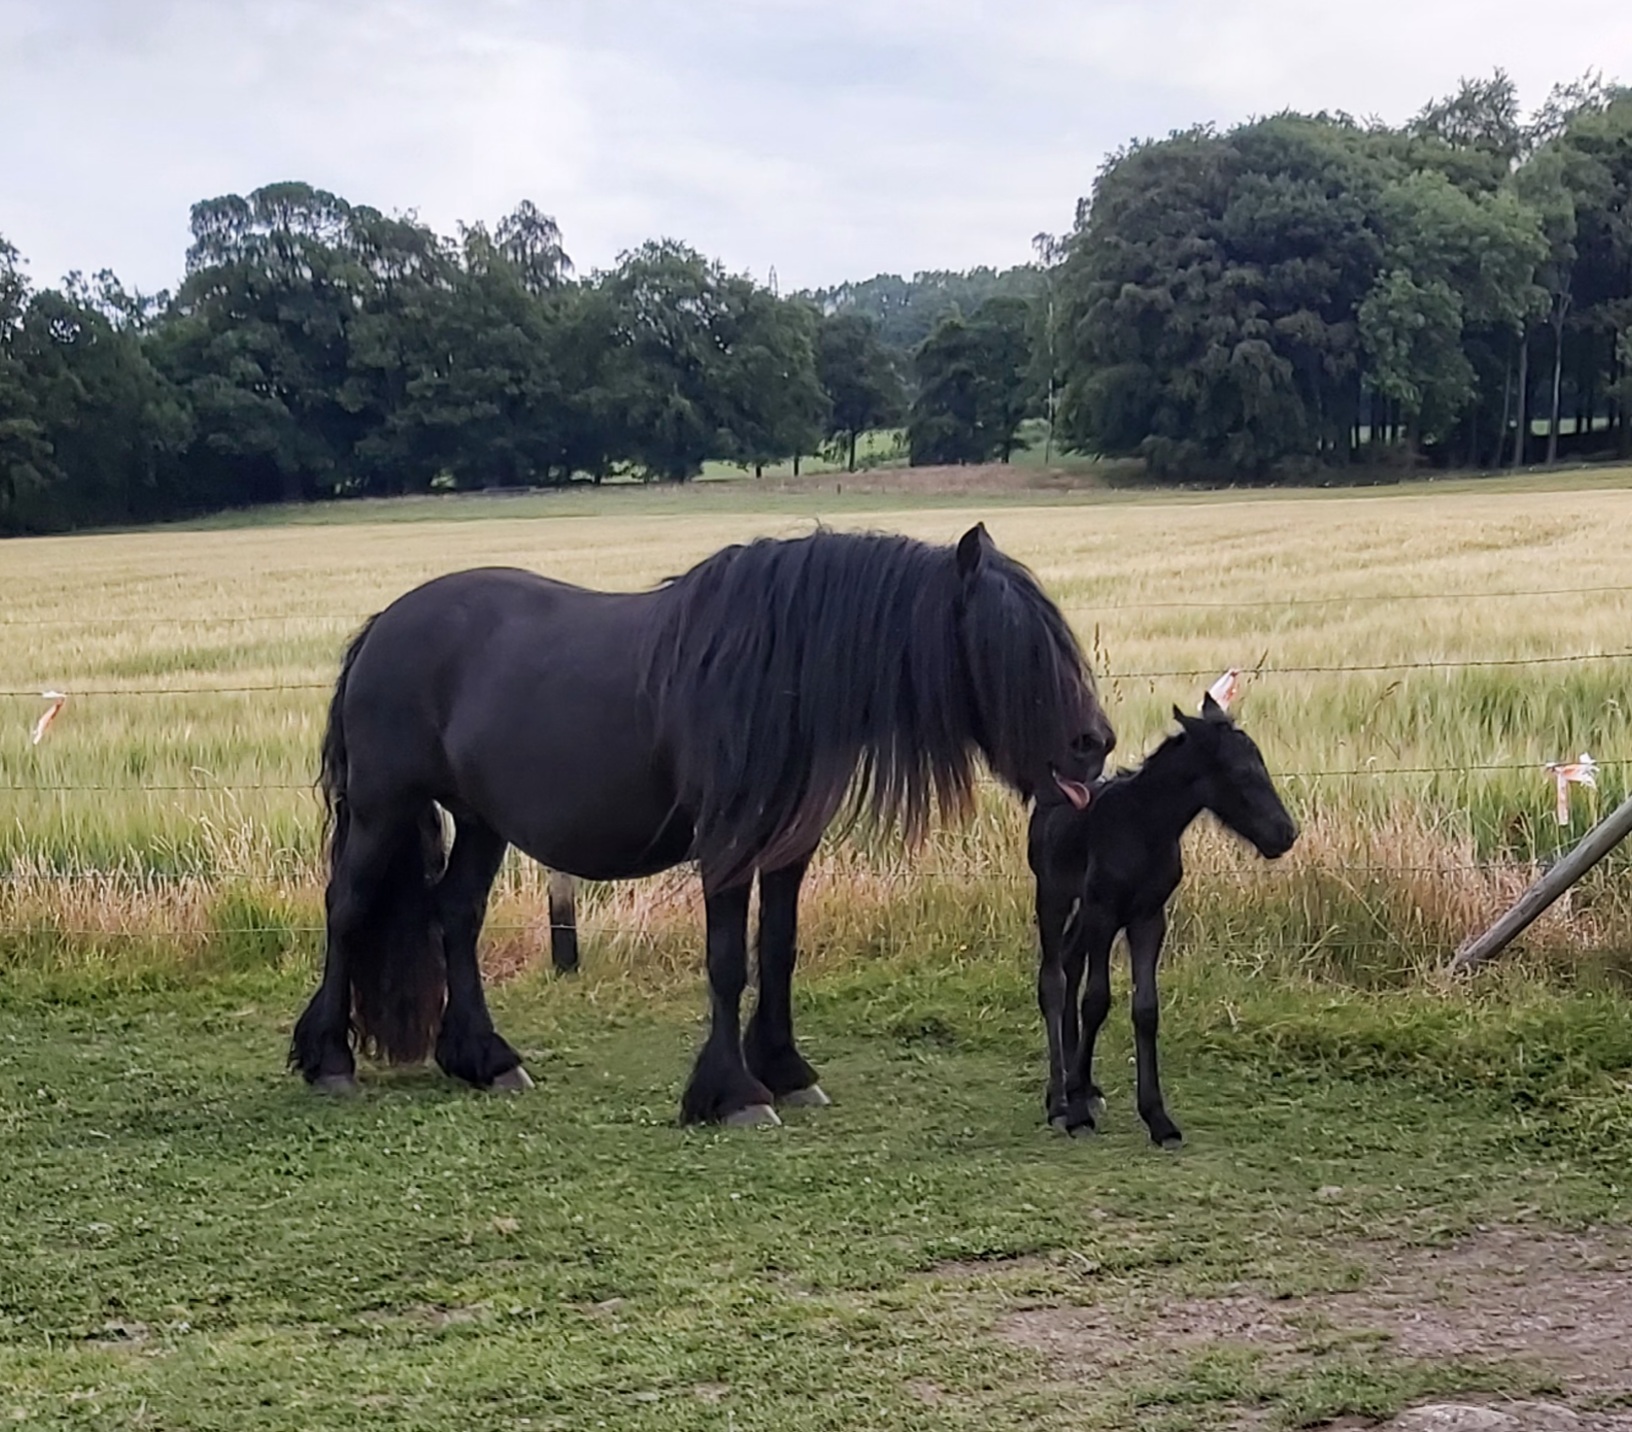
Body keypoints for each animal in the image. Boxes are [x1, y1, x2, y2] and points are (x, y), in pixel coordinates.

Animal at [1037, 692, 1292, 1142]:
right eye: (1241, 772)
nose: (1286, 834)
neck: (1143, 827)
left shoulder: (1148, 917)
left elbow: (1145, 1009)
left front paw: (1157, 1117)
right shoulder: (1105, 912)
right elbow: (1096, 1001)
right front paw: (1078, 1110)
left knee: (1069, 963)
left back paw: (1079, 1087)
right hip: (1054, 897)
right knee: (1053, 980)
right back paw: (1060, 1100)